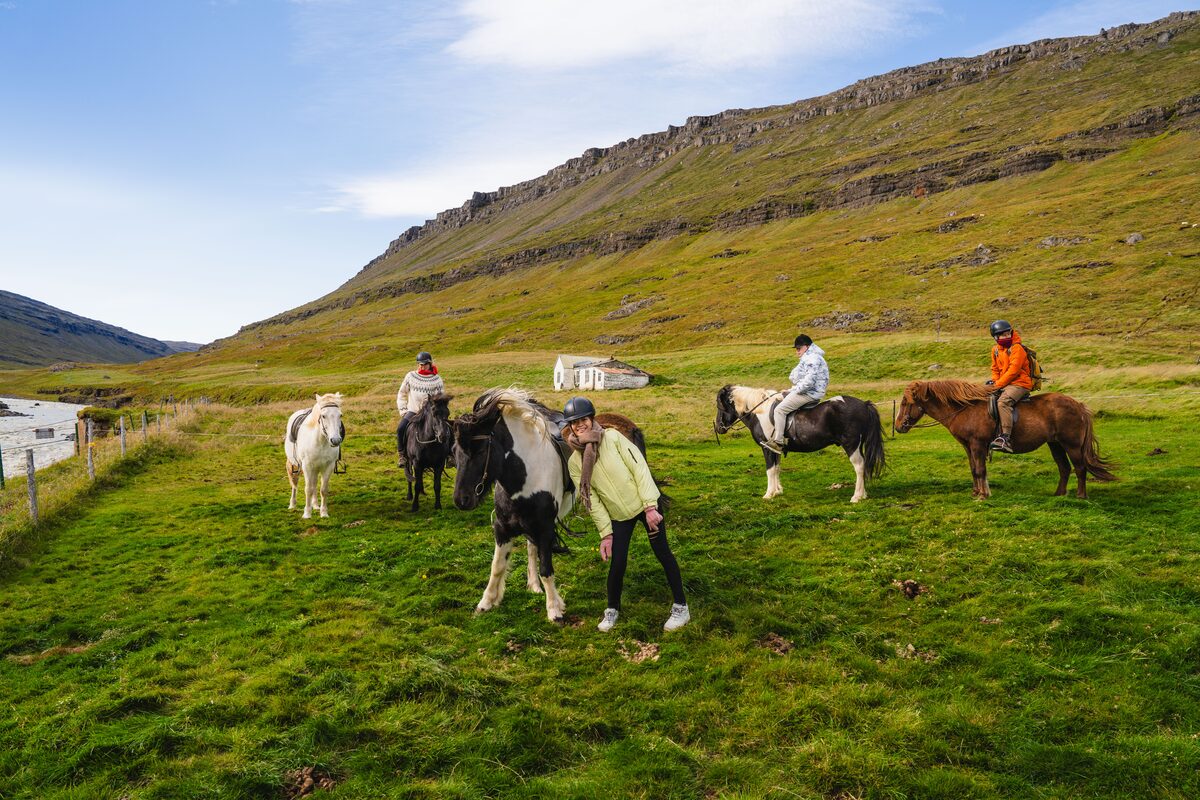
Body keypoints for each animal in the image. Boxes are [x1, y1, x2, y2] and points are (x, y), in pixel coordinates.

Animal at [715, 385, 886, 502]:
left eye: (719, 405)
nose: (718, 428)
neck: (760, 412)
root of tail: (864, 404)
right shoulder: (775, 449)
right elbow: (776, 469)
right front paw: (777, 491)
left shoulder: (766, 448)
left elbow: (770, 470)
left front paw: (769, 494)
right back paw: (863, 494)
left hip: (851, 445)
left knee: (859, 466)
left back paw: (856, 497)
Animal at [895, 379, 1116, 498]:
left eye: (906, 402)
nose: (898, 426)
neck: (964, 408)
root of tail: (1078, 404)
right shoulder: (968, 447)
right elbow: (974, 470)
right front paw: (976, 492)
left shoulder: (978, 445)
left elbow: (980, 470)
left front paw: (983, 495)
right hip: (1055, 444)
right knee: (1064, 468)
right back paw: (1058, 495)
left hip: (1072, 445)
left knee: (1079, 468)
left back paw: (1080, 496)